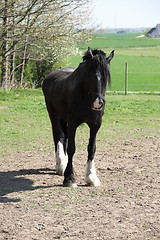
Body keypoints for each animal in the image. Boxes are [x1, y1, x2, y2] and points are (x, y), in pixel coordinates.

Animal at [42, 46, 114, 187]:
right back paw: (61, 165)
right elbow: (71, 149)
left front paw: (91, 177)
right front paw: (69, 178)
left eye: (106, 76)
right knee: (59, 137)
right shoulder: (73, 124)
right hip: (54, 116)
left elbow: (91, 148)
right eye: (90, 75)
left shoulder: (95, 125)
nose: (98, 103)